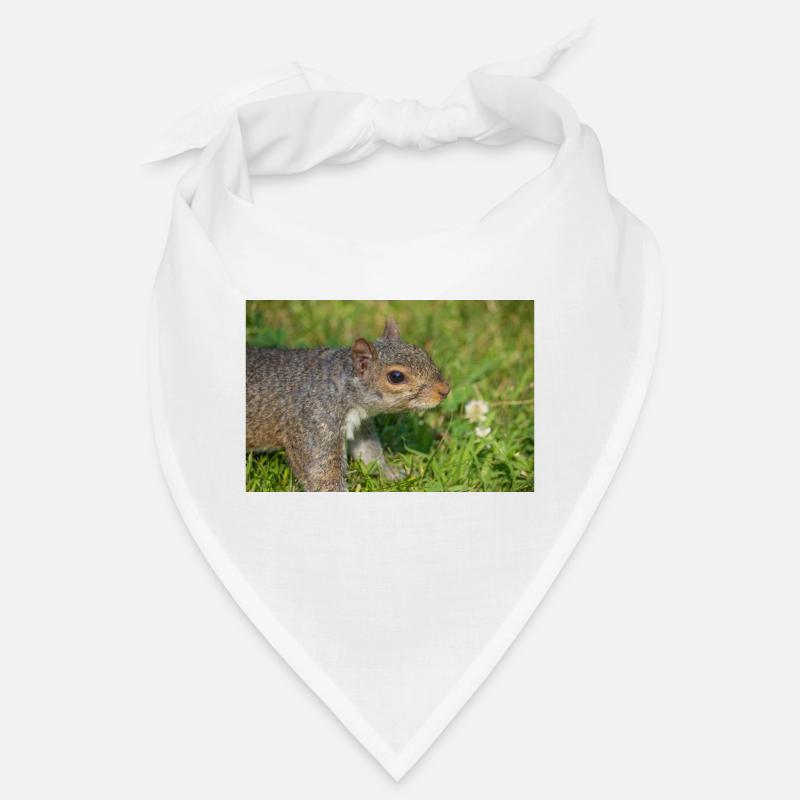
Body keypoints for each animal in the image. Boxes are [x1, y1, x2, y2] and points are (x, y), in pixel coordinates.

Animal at [246, 318, 450, 492]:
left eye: (424, 353)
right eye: (396, 376)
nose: (444, 390)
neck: (340, 385)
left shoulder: (360, 425)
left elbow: (368, 452)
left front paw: (391, 473)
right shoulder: (313, 422)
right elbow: (320, 474)